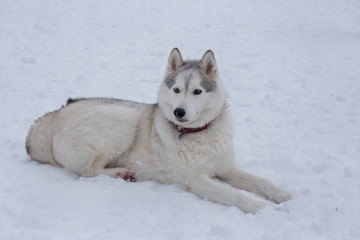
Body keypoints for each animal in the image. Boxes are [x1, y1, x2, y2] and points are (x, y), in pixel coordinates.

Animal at [26, 48, 292, 214]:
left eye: (197, 91)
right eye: (176, 90)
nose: (179, 112)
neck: (197, 134)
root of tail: (50, 118)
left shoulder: (227, 168)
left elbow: (261, 181)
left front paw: (283, 195)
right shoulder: (196, 180)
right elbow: (237, 196)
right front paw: (267, 210)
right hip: (123, 119)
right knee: (87, 171)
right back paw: (122, 173)